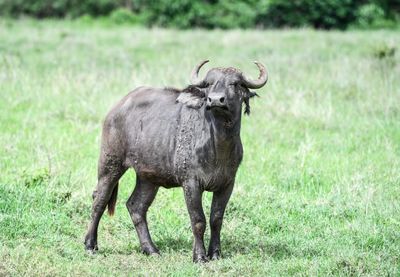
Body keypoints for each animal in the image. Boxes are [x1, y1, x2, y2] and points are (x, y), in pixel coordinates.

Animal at [83, 60, 268, 260]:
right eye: (210, 84)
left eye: (235, 83)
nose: (215, 100)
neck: (218, 147)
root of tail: (117, 107)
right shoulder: (191, 183)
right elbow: (198, 220)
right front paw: (199, 256)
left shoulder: (227, 184)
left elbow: (216, 219)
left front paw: (215, 253)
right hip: (110, 163)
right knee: (99, 199)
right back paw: (90, 245)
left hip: (148, 177)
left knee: (136, 206)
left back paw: (151, 249)